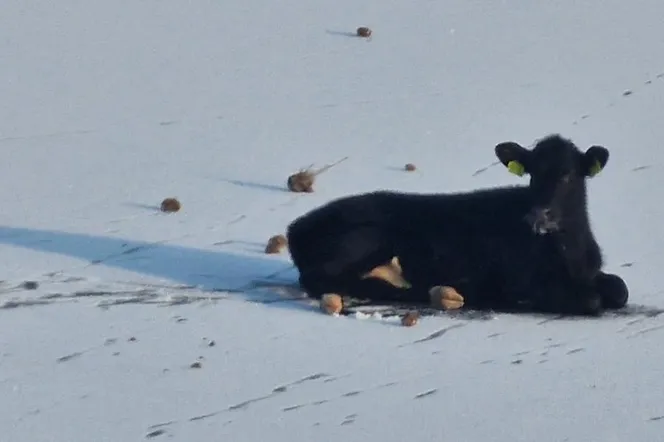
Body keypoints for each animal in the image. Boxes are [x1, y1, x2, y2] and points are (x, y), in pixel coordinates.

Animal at [286, 134, 628, 314]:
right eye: (532, 173)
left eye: (568, 175)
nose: (538, 215)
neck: (570, 252)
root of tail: (295, 229)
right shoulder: (524, 280)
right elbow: (590, 299)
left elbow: (619, 288)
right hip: (365, 237)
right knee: (320, 278)